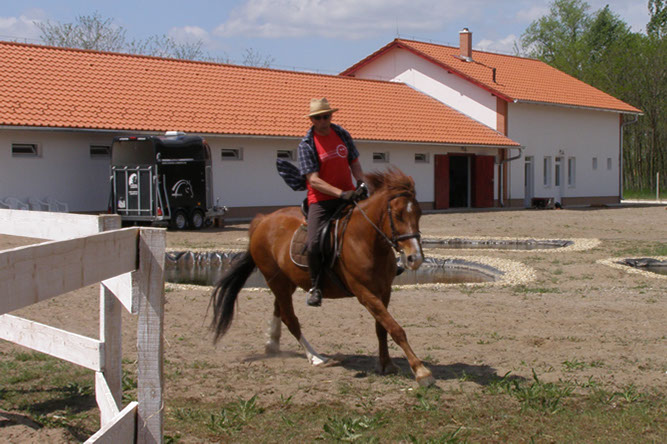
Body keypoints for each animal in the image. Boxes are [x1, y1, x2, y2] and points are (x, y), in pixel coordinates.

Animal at [210, 167, 435, 386]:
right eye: (397, 215)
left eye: (419, 214)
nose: (415, 258)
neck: (366, 241)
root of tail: (263, 220)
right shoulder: (365, 292)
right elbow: (395, 328)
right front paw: (421, 371)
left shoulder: (384, 290)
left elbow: (382, 327)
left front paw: (386, 364)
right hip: (277, 280)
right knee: (290, 318)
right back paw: (315, 357)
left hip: (285, 281)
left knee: (279, 310)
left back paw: (272, 343)